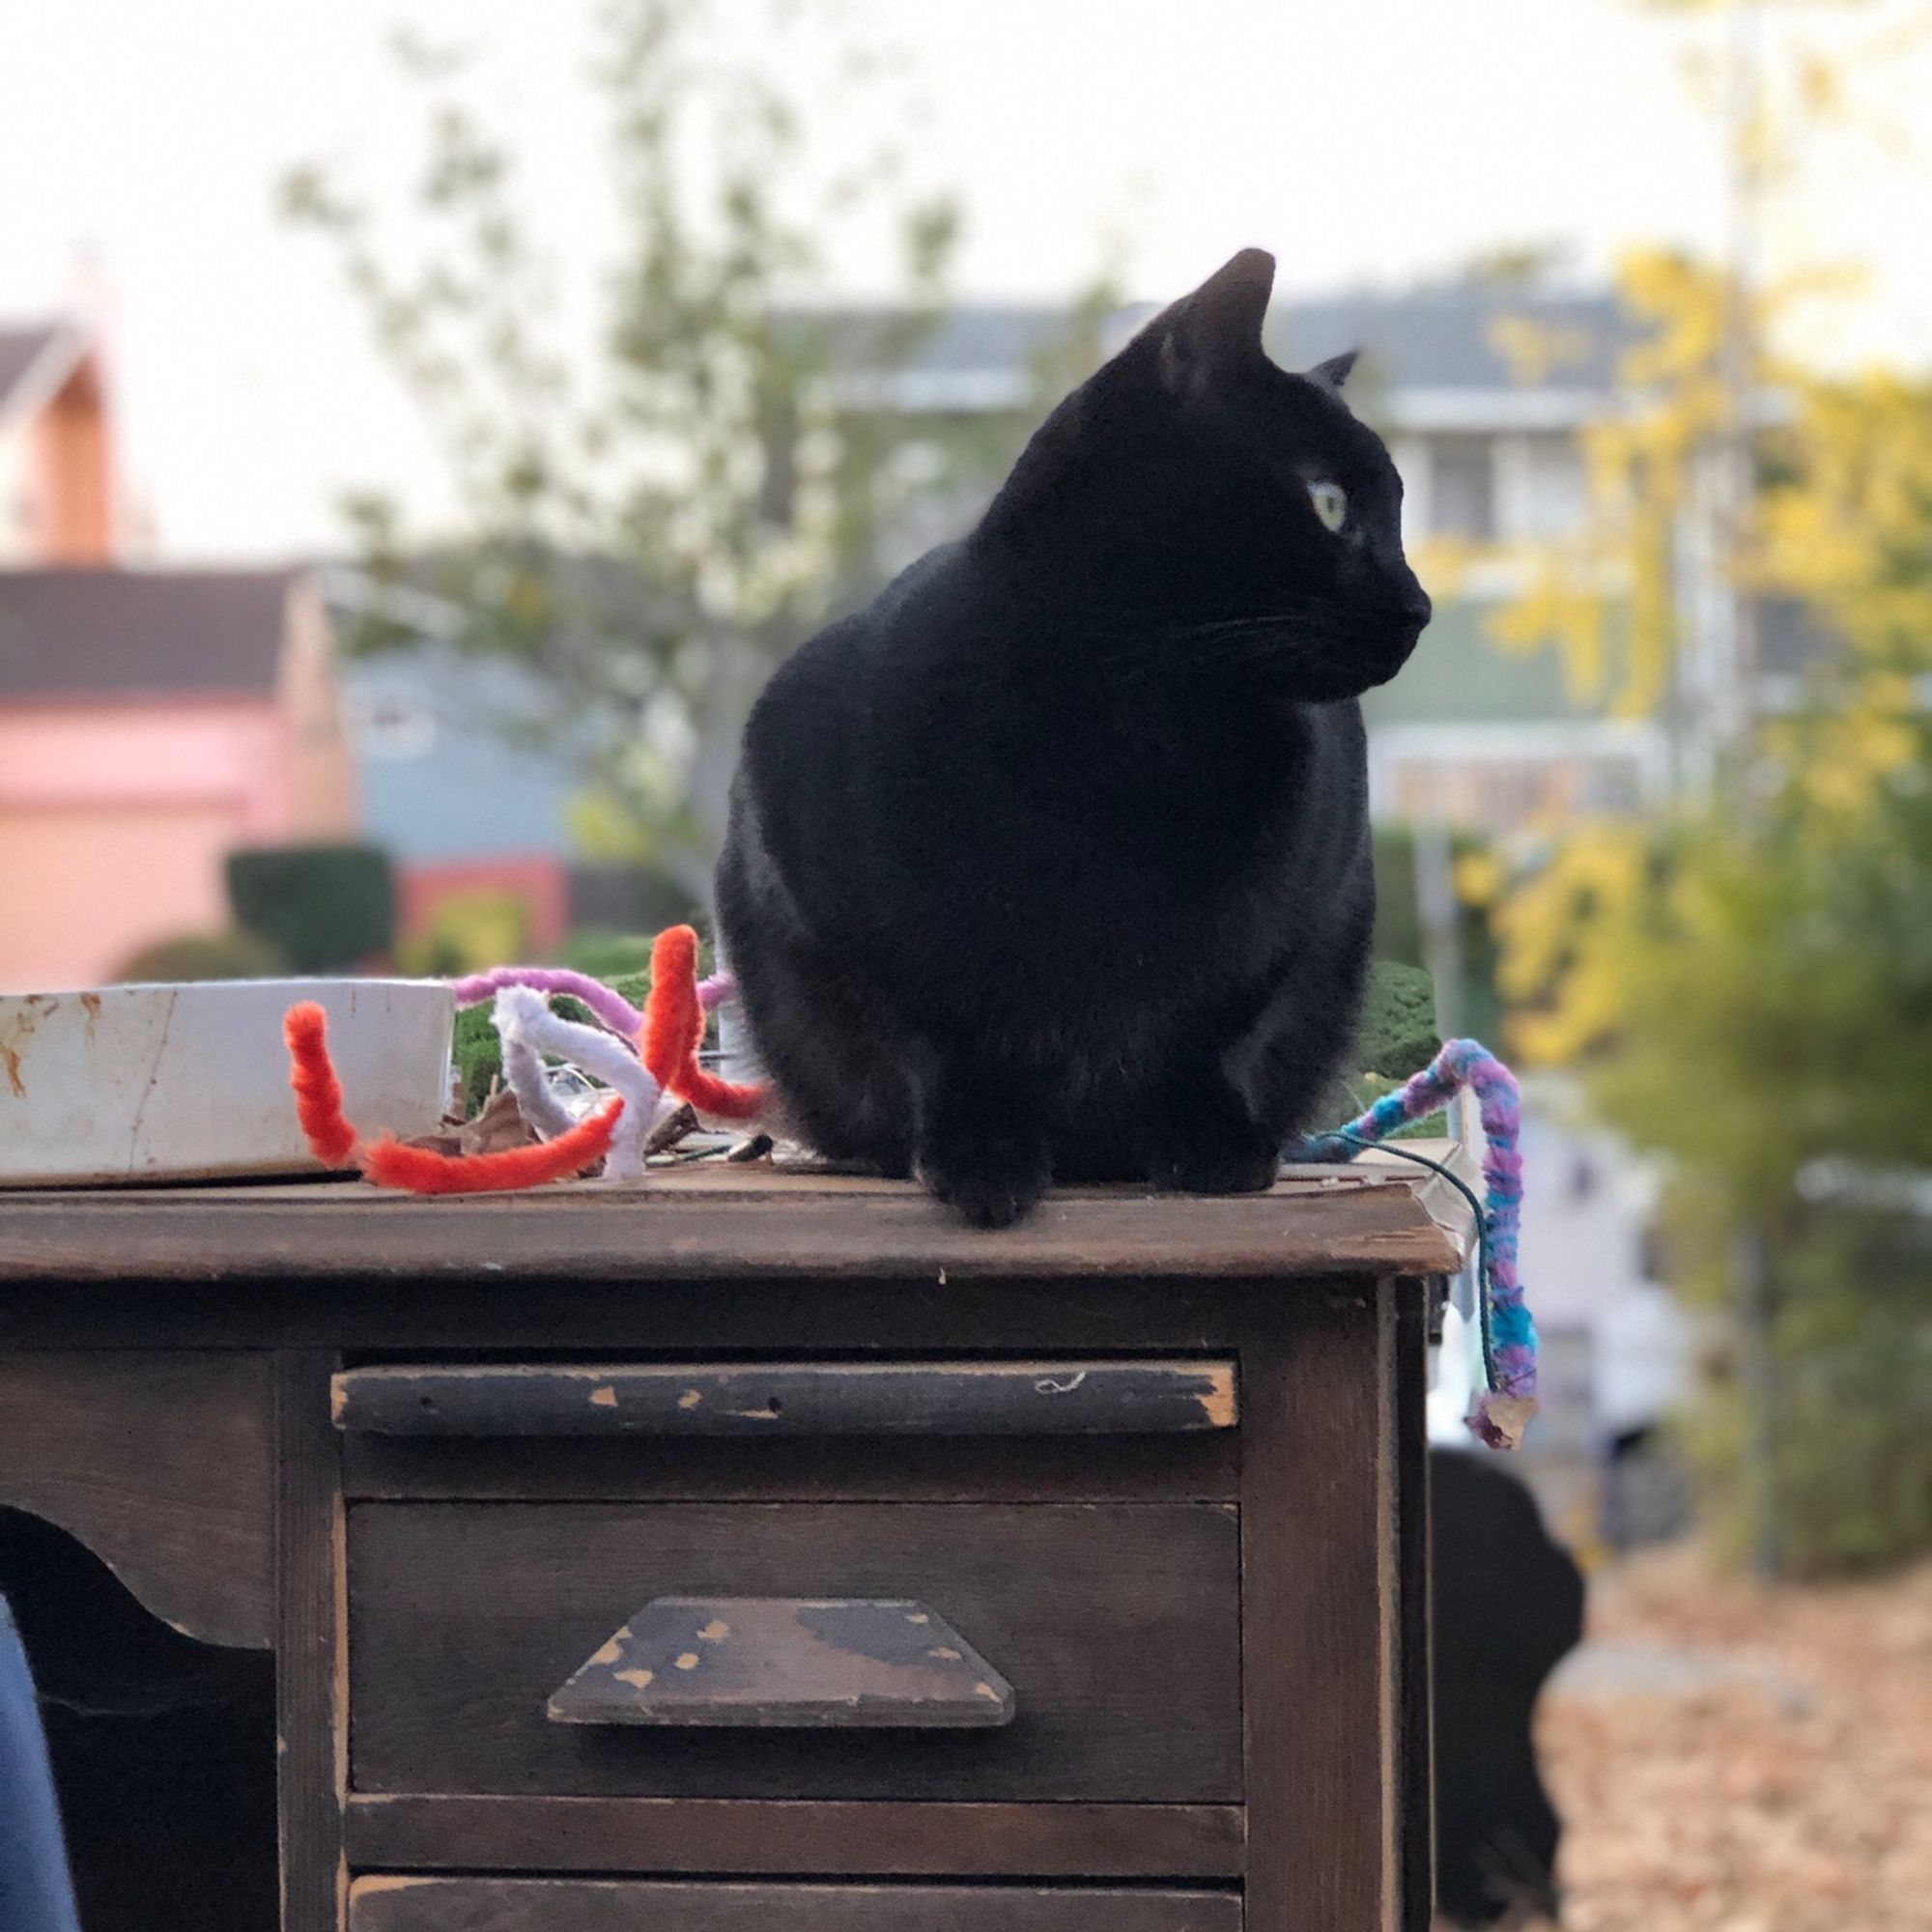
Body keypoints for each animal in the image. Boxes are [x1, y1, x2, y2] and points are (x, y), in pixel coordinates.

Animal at [719, 245, 1430, 1221]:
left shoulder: (1299, 919)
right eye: (1328, 503)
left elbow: (1207, 1032)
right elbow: (937, 1039)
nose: (1420, 607)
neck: (1135, 728)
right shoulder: (822, 899)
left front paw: (1212, 1144)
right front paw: (980, 1156)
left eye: (1397, 508)